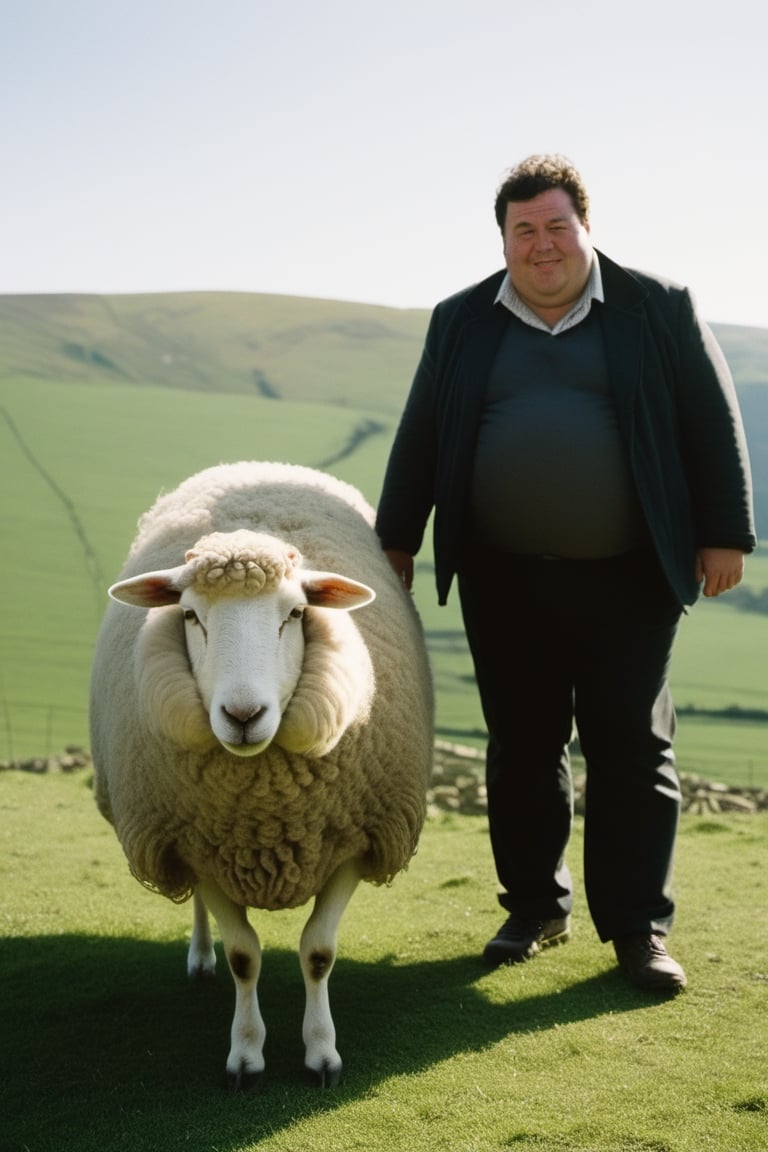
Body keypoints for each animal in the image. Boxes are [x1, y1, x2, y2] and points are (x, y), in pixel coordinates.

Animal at [89, 461, 433, 1089]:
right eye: (190, 615)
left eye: (295, 614)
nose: (243, 715)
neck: (266, 816)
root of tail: (253, 466)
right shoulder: (195, 847)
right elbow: (243, 956)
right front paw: (246, 1056)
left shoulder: (354, 842)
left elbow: (318, 952)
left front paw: (322, 1053)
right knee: (201, 919)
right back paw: (199, 960)